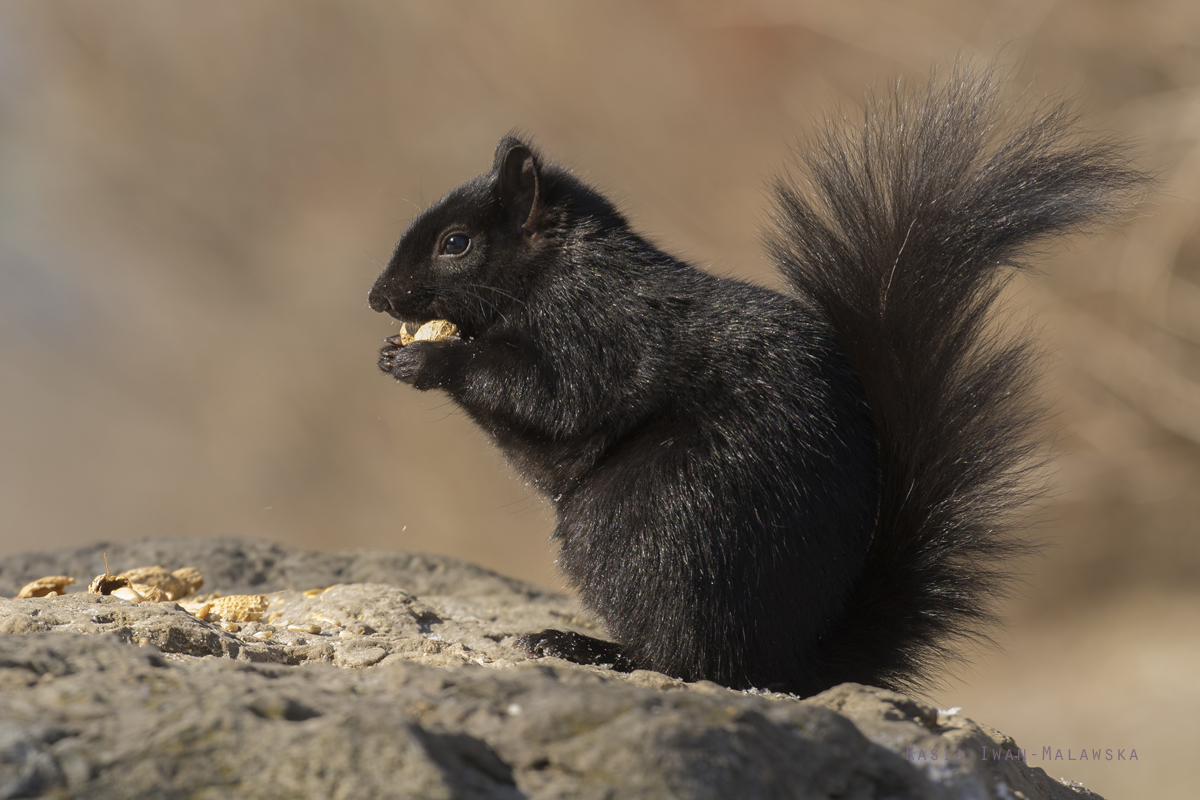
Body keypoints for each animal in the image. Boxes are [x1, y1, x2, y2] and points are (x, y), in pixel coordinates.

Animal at [364, 67, 1142, 695]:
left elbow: (553, 397)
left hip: (647, 518)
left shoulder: (600, 331)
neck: (556, 271)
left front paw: (429, 361)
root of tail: (792, 661)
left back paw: (587, 646)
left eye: (456, 243)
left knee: (688, 660)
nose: (377, 298)